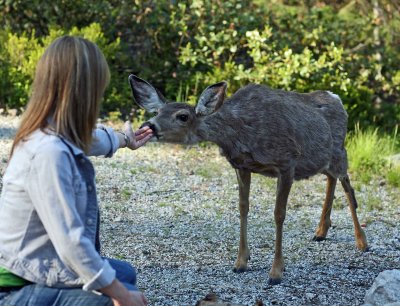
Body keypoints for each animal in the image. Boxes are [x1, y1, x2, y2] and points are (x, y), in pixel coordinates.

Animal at [128, 73, 368, 284]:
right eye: (157, 111)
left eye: (183, 116)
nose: (148, 125)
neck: (238, 132)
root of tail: (336, 98)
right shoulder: (242, 165)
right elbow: (243, 207)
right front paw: (241, 262)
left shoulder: (287, 161)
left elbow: (279, 214)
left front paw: (276, 272)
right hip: (321, 159)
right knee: (332, 179)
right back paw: (321, 232)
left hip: (338, 151)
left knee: (348, 186)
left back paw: (361, 241)